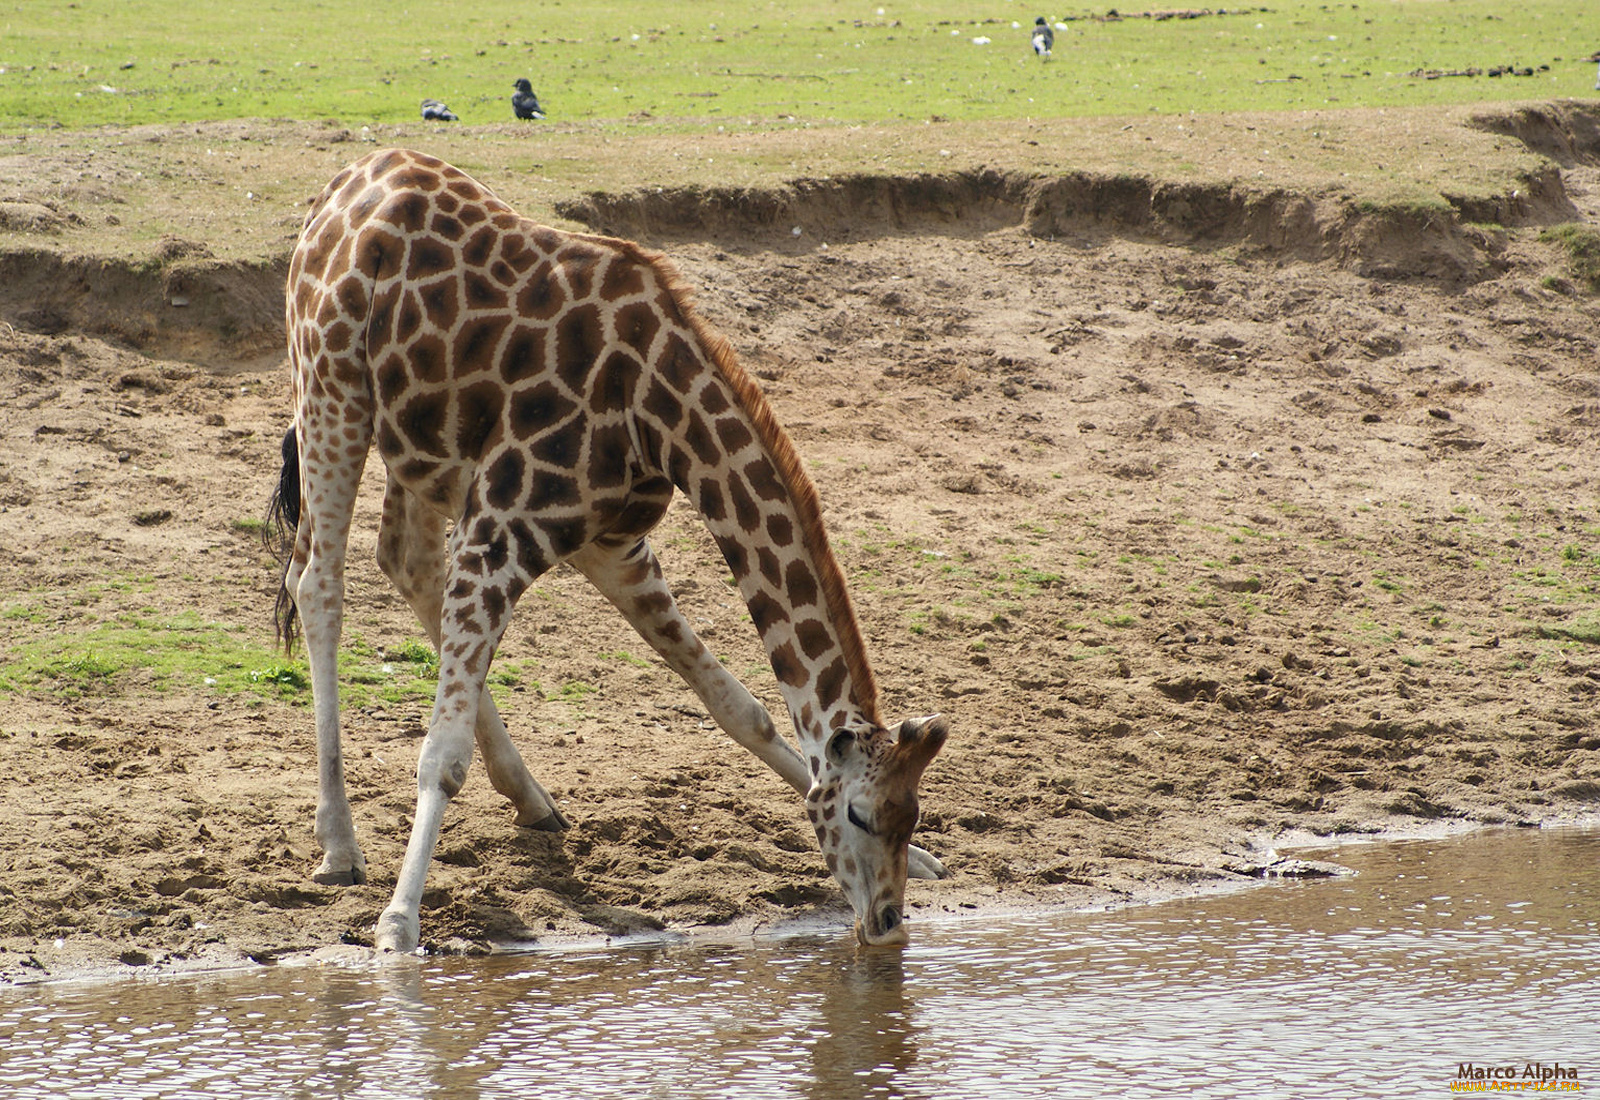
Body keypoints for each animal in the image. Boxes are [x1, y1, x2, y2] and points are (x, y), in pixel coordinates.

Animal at [275, 147, 947, 952]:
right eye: (858, 814)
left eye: (910, 815)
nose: (885, 924)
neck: (658, 412)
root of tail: (342, 185)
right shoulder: (502, 529)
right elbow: (442, 757)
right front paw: (398, 926)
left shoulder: (611, 543)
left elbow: (738, 705)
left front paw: (933, 862)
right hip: (332, 391)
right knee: (319, 585)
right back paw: (339, 847)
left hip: (419, 450)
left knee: (404, 561)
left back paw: (532, 800)